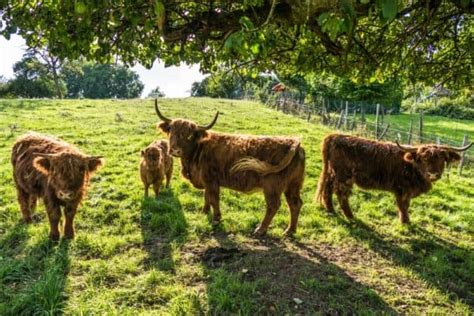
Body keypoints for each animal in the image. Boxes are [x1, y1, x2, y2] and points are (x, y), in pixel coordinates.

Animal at [154, 100, 306, 236]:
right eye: (171, 131)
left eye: (189, 135)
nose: (175, 150)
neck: (198, 151)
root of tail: (293, 143)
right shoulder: (206, 181)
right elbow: (206, 197)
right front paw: (204, 212)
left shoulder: (211, 181)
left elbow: (214, 199)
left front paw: (216, 219)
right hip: (292, 185)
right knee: (295, 204)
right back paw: (290, 230)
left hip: (272, 186)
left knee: (274, 205)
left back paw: (261, 229)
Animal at [316, 133, 472, 222]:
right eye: (424, 159)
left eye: (442, 159)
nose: (433, 174)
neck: (412, 167)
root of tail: (335, 136)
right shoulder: (402, 189)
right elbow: (403, 205)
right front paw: (405, 222)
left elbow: (405, 205)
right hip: (344, 175)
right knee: (341, 193)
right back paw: (350, 216)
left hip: (334, 172)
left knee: (328, 187)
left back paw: (330, 209)